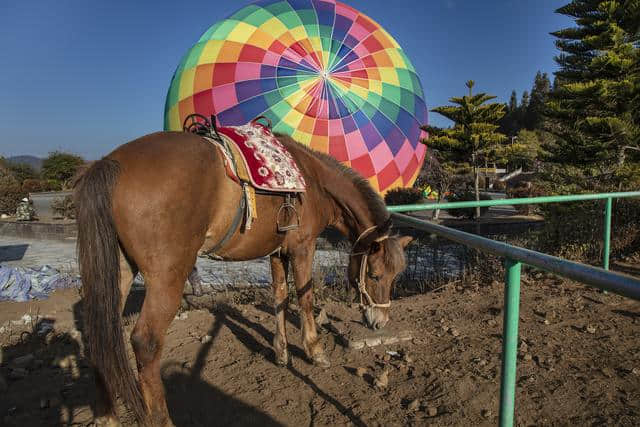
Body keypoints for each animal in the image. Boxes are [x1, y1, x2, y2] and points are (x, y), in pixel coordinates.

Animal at [75, 132, 412, 426]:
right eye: (374, 274)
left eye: (396, 276)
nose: (380, 322)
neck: (313, 181)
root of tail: (111, 163)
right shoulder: (303, 248)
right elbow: (304, 297)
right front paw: (315, 351)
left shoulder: (277, 252)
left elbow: (279, 297)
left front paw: (281, 352)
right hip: (167, 279)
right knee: (145, 343)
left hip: (118, 272)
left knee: (98, 333)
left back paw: (107, 416)